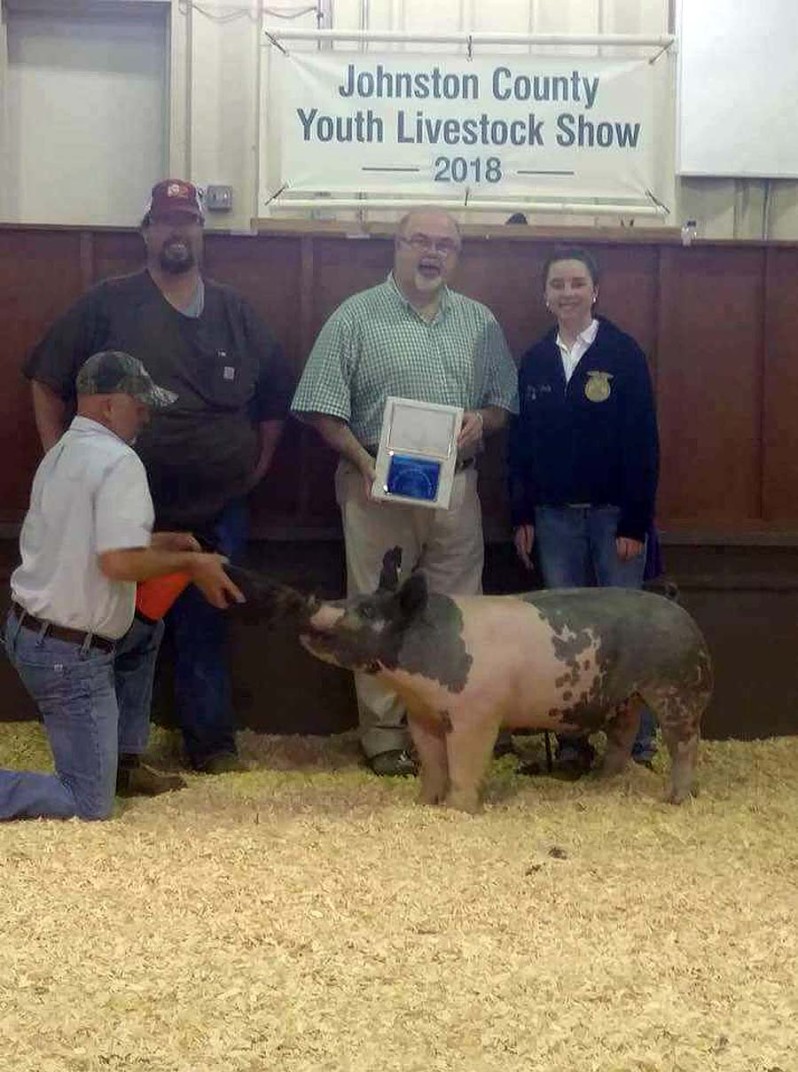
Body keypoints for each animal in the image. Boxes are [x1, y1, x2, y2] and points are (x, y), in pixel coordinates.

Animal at [293, 553, 712, 810]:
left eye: (366, 610)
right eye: (354, 597)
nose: (309, 602)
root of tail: (680, 611)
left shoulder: (475, 714)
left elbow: (464, 761)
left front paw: (457, 809)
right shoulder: (422, 714)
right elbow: (432, 762)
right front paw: (424, 803)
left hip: (677, 688)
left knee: (684, 743)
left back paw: (674, 799)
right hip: (626, 696)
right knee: (623, 734)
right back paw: (601, 783)